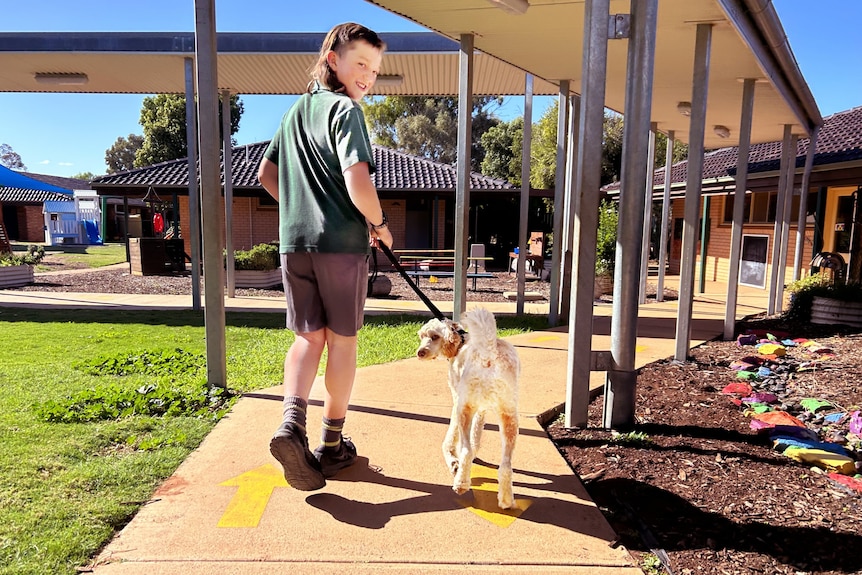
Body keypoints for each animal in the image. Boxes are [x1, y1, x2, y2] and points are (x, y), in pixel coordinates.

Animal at [416, 310, 520, 508]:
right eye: (422, 336)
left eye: (435, 336)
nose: (420, 352)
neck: (461, 343)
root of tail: (489, 353)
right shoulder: (480, 410)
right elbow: (476, 437)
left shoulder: (458, 400)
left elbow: (453, 437)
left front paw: (452, 459)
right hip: (509, 417)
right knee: (506, 464)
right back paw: (505, 499)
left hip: (465, 408)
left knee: (466, 450)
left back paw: (461, 483)